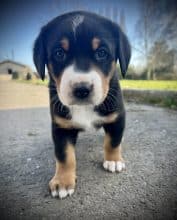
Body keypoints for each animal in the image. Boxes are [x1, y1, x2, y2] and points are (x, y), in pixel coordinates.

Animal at [33, 10, 131, 199]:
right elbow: (64, 155)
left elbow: (113, 141)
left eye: (101, 53)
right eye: (59, 53)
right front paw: (62, 182)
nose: (82, 89)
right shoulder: (61, 126)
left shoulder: (117, 116)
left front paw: (113, 160)